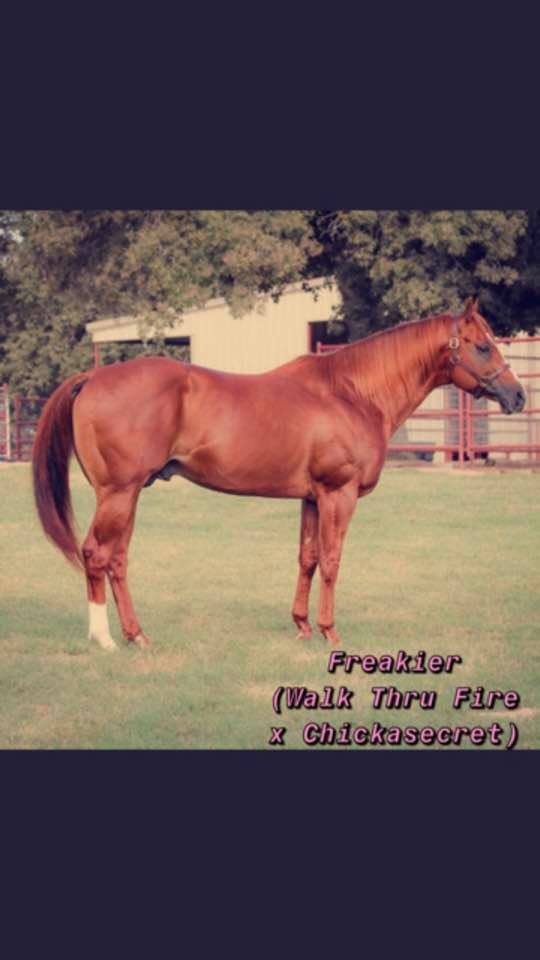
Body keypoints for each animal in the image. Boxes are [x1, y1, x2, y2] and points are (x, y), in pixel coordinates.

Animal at [32, 297, 525, 650]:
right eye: (483, 345)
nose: (518, 395)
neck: (351, 392)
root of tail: (92, 378)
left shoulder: (311, 497)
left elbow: (307, 558)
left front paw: (302, 626)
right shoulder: (338, 494)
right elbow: (332, 560)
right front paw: (330, 631)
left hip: (128, 495)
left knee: (116, 559)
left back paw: (137, 635)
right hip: (119, 493)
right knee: (96, 553)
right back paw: (105, 639)